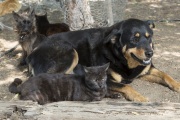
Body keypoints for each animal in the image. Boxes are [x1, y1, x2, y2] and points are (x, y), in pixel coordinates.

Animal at [26, 18, 180, 101]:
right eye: (134, 39)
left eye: (149, 37)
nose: (150, 53)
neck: (122, 57)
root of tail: (32, 53)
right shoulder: (106, 78)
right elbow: (126, 86)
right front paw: (139, 97)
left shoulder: (145, 71)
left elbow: (166, 75)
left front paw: (177, 85)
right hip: (70, 52)